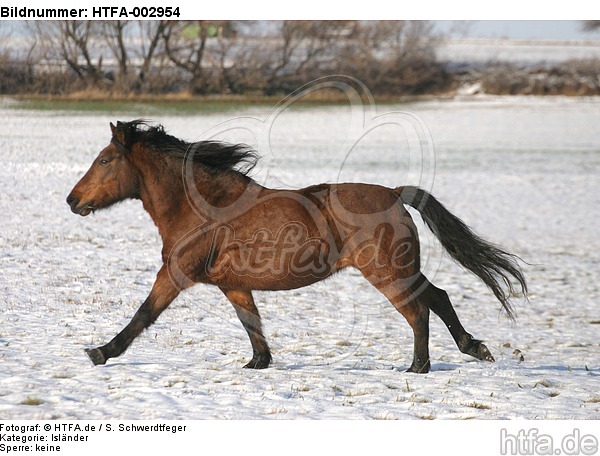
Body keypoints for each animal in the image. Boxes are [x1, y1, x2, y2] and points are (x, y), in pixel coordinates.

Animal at [68, 120, 528, 374]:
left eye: (105, 160)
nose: (73, 200)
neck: (201, 207)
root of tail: (396, 194)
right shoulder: (233, 284)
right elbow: (251, 325)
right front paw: (258, 363)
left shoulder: (176, 273)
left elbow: (144, 314)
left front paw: (100, 352)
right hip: (400, 271)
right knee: (438, 296)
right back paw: (474, 348)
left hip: (387, 274)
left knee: (418, 311)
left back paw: (418, 367)